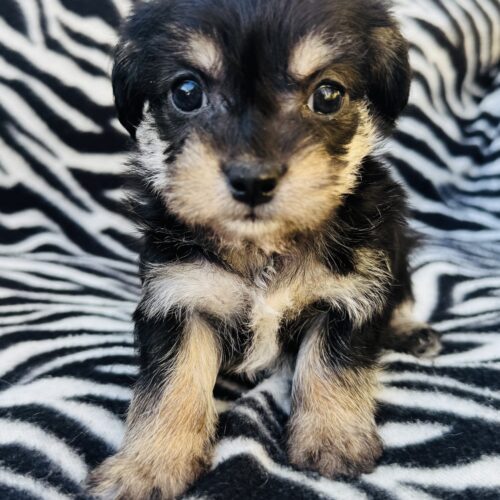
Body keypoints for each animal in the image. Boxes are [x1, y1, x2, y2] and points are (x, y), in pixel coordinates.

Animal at [90, 0, 441, 497]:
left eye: (328, 95)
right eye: (187, 92)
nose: (253, 180)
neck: (263, 247)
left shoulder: (351, 290)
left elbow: (332, 363)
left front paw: (332, 438)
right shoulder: (177, 296)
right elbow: (170, 383)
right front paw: (148, 465)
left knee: (403, 291)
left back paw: (410, 330)